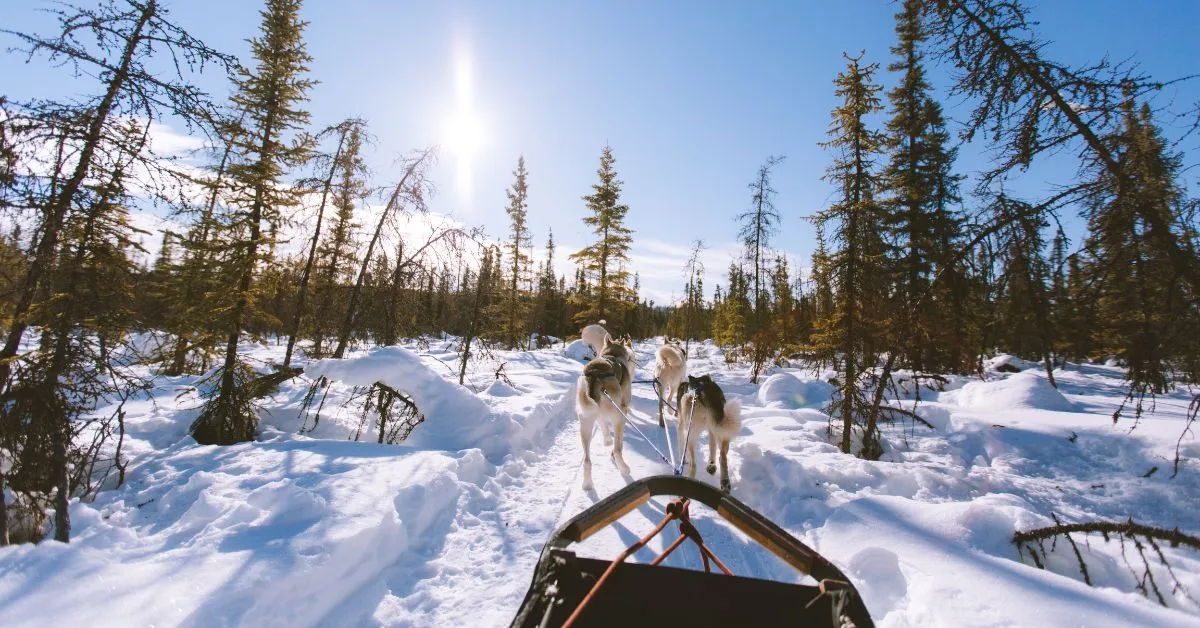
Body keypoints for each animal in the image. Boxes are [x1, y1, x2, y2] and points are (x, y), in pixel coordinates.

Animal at [573, 333, 638, 492]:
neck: (612, 354)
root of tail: (594, 375)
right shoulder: (623, 409)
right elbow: (617, 441)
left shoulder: (598, 413)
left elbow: (603, 424)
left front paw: (607, 440)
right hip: (617, 416)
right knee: (617, 449)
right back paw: (623, 467)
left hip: (585, 424)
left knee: (587, 460)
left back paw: (587, 484)